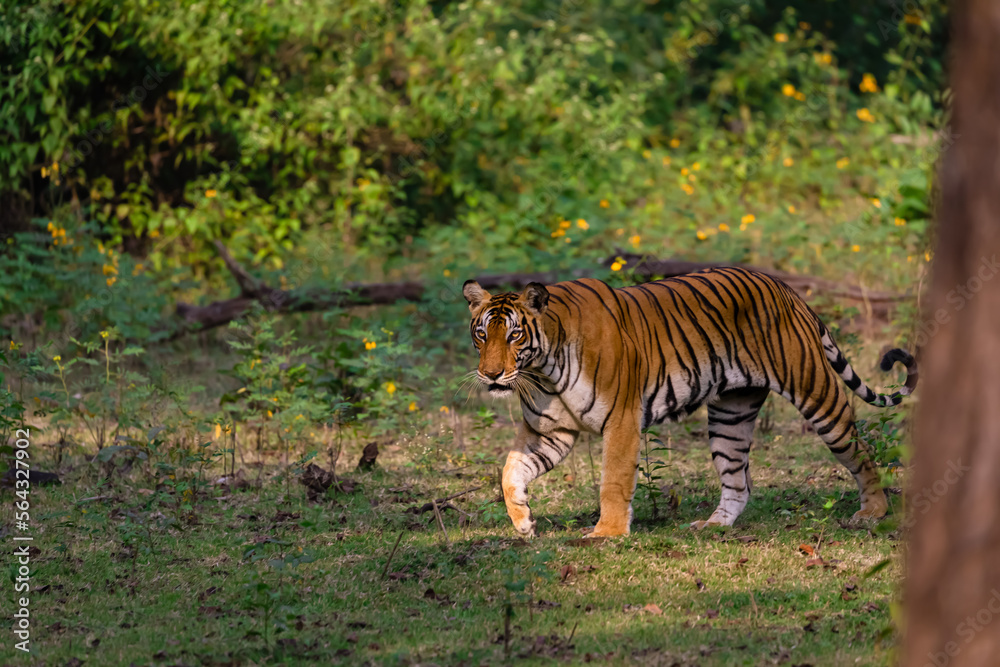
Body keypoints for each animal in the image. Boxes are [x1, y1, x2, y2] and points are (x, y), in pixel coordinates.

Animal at [462, 267, 917, 537]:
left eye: (515, 335)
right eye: (482, 334)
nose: (491, 374)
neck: (543, 368)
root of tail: (786, 288)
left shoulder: (621, 421)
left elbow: (613, 481)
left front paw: (607, 534)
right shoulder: (549, 432)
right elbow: (510, 472)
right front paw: (523, 522)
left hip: (816, 394)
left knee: (861, 451)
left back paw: (874, 511)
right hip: (731, 414)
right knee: (738, 482)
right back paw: (713, 526)